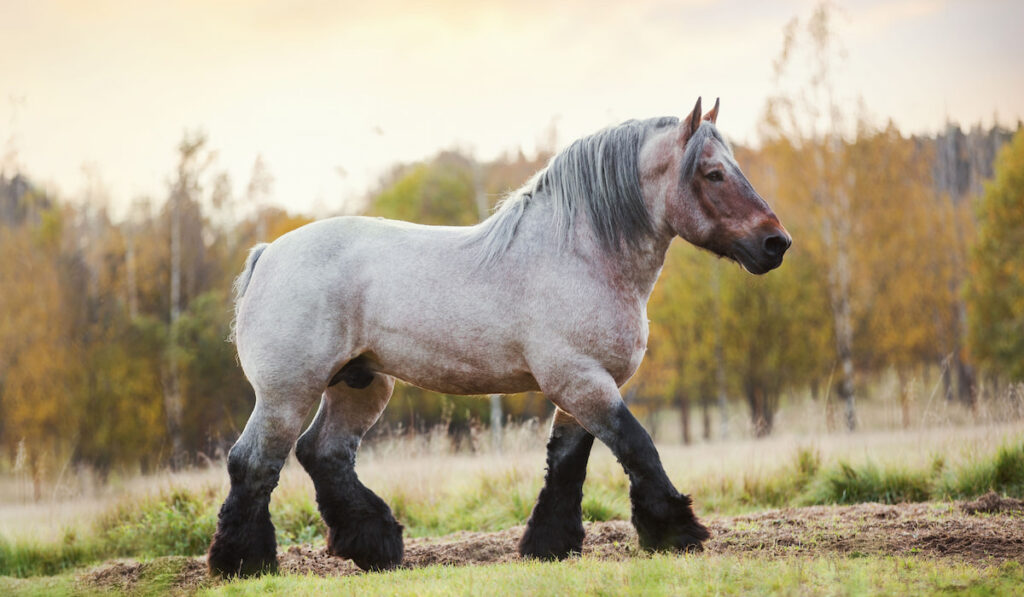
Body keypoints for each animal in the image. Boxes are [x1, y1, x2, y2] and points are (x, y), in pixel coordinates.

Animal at [205, 98, 790, 577]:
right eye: (713, 174)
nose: (776, 243)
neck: (580, 254)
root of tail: (267, 255)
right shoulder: (582, 381)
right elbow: (637, 446)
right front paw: (676, 532)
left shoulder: (579, 390)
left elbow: (567, 463)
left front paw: (548, 546)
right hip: (287, 394)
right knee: (254, 462)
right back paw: (244, 563)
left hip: (360, 384)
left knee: (322, 453)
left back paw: (375, 546)